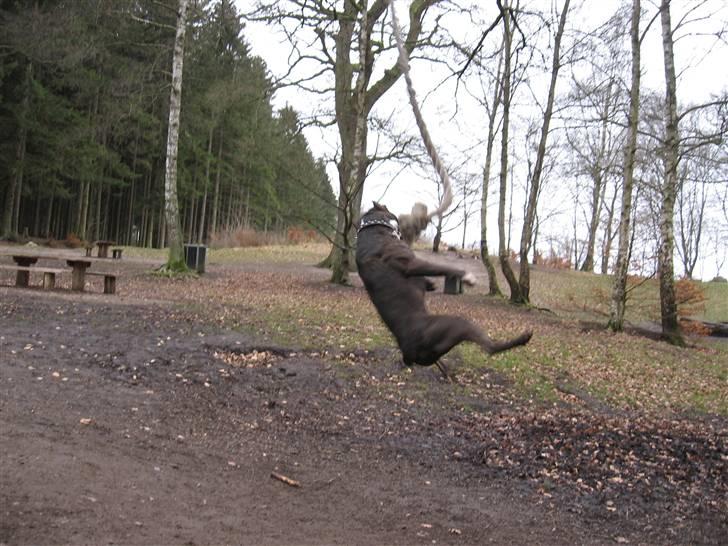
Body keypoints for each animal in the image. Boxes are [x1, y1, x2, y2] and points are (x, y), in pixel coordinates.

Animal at [356, 202, 532, 376]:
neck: (372, 231)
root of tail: (408, 353)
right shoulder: (411, 264)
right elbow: (442, 267)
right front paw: (467, 277)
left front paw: (431, 284)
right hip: (458, 325)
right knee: (490, 348)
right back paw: (523, 338)